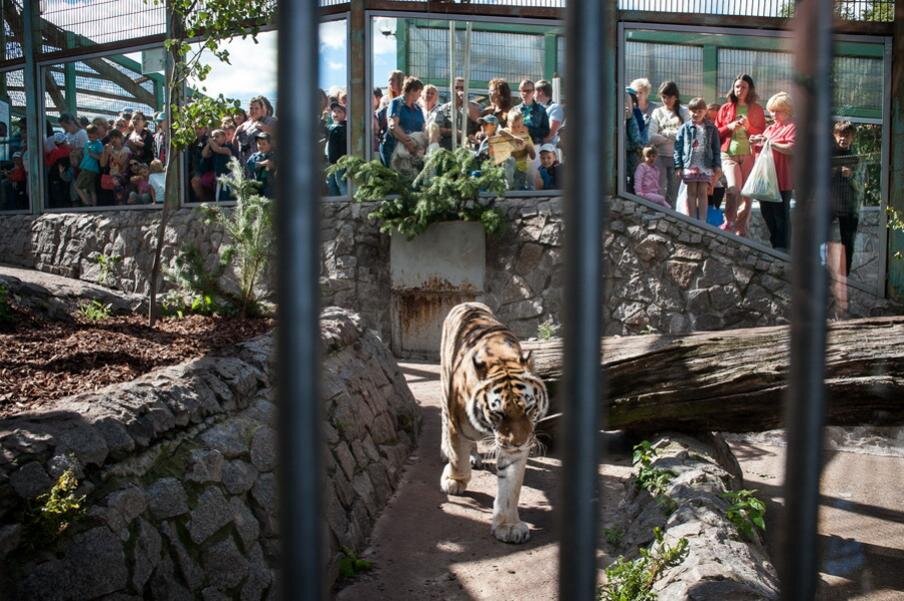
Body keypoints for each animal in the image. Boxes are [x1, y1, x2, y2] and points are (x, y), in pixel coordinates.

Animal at [440, 302, 548, 540]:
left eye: (528, 409)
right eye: (499, 413)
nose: (519, 442)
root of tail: (467, 303)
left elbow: (511, 485)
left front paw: (508, 526)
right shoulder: (456, 425)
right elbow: (458, 456)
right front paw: (454, 480)